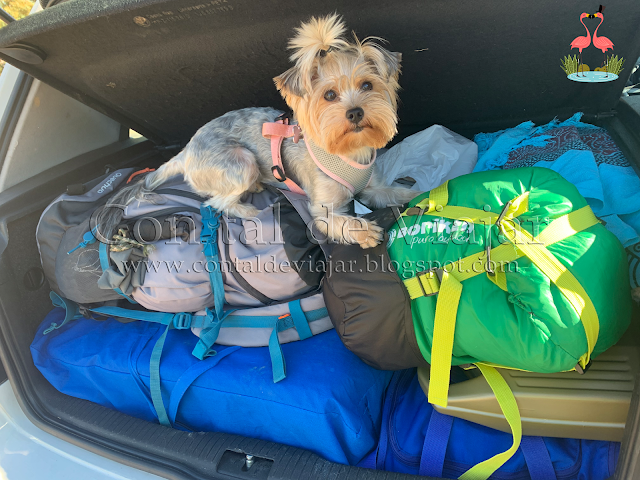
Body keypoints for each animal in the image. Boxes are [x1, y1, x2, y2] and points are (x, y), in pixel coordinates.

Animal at [103, 15, 418, 248]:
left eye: (367, 85)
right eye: (329, 95)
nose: (355, 112)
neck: (349, 152)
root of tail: (186, 152)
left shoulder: (374, 187)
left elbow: (395, 192)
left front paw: (420, 194)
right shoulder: (322, 210)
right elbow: (335, 220)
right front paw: (363, 231)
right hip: (240, 161)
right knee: (217, 202)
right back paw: (249, 209)